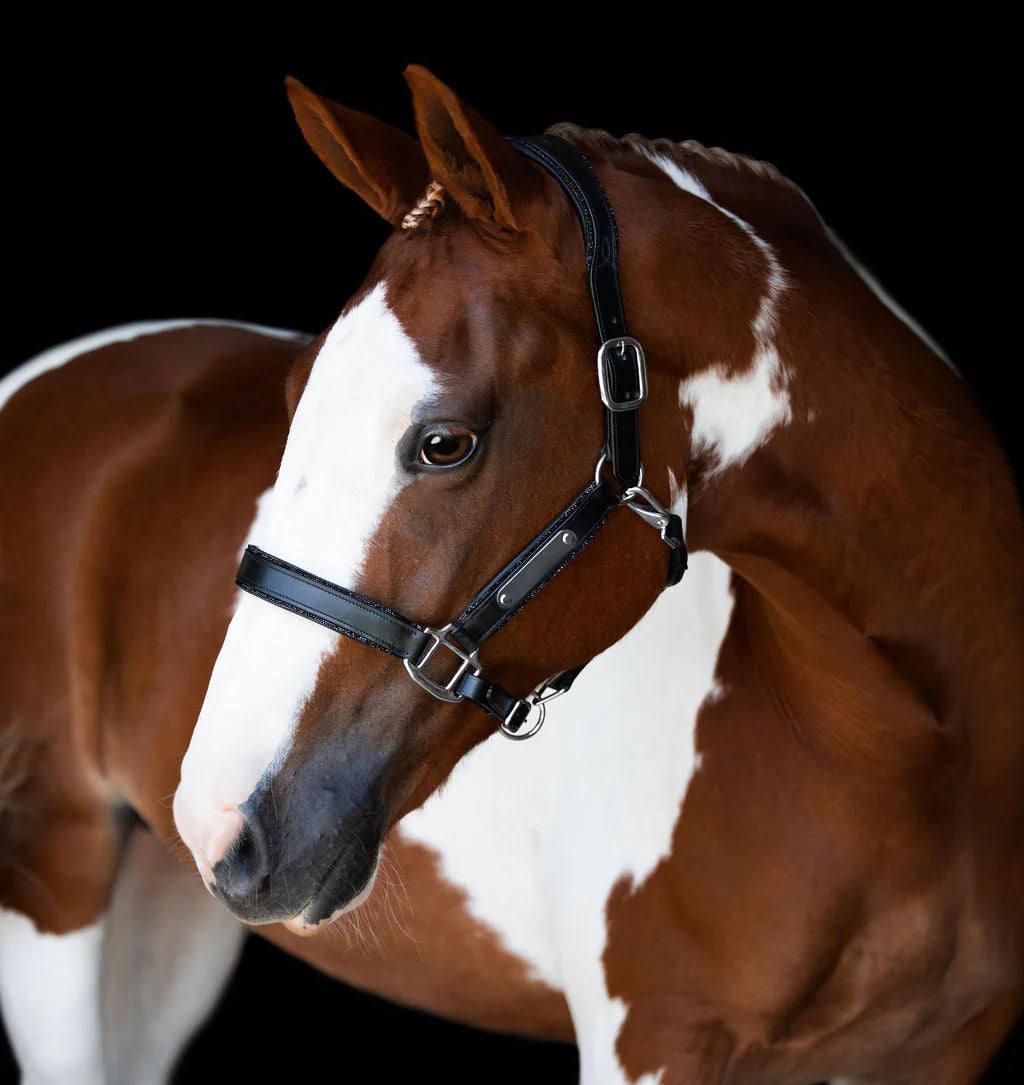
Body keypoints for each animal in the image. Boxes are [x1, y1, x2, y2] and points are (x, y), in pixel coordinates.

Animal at [2, 69, 1024, 1085]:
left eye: (444, 441)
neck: (896, 747)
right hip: (52, 878)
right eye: (297, 397)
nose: (222, 815)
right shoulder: (651, 1040)